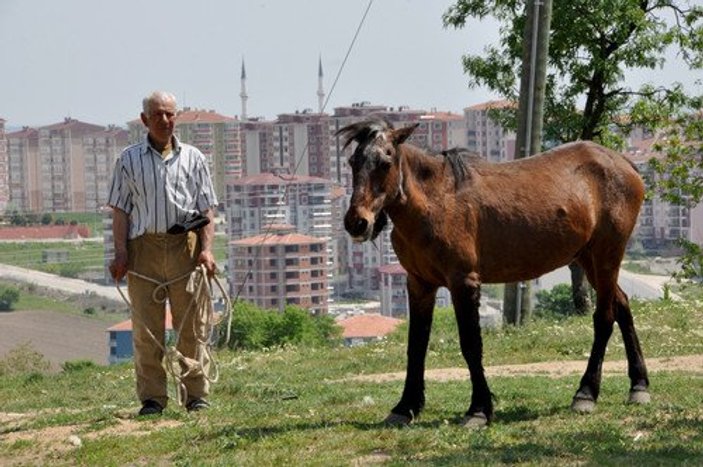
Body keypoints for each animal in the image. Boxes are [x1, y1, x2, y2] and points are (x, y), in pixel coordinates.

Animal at [338, 118, 652, 428]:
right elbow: (416, 345)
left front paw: (478, 409)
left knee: (605, 318)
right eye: (354, 161)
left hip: (607, 256)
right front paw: (406, 407)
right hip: (589, 258)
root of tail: (624, 163)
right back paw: (639, 386)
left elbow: (471, 344)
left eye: (385, 162)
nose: (357, 222)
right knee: (622, 305)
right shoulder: (419, 284)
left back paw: (586, 393)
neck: (436, 202)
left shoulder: (463, 283)